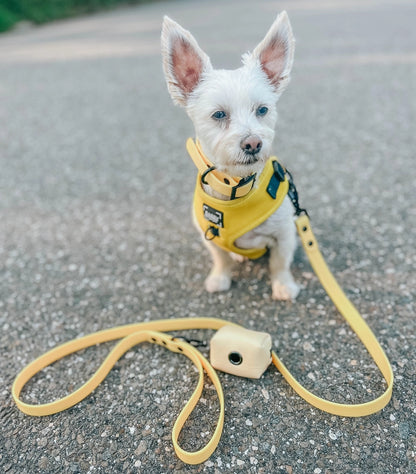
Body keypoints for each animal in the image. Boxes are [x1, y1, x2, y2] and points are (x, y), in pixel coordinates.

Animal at [161, 12, 300, 302]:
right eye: (219, 114)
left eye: (262, 110)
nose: (253, 143)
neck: (236, 187)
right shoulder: (209, 236)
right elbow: (220, 259)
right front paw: (219, 278)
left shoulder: (284, 233)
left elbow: (279, 262)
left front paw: (283, 286)